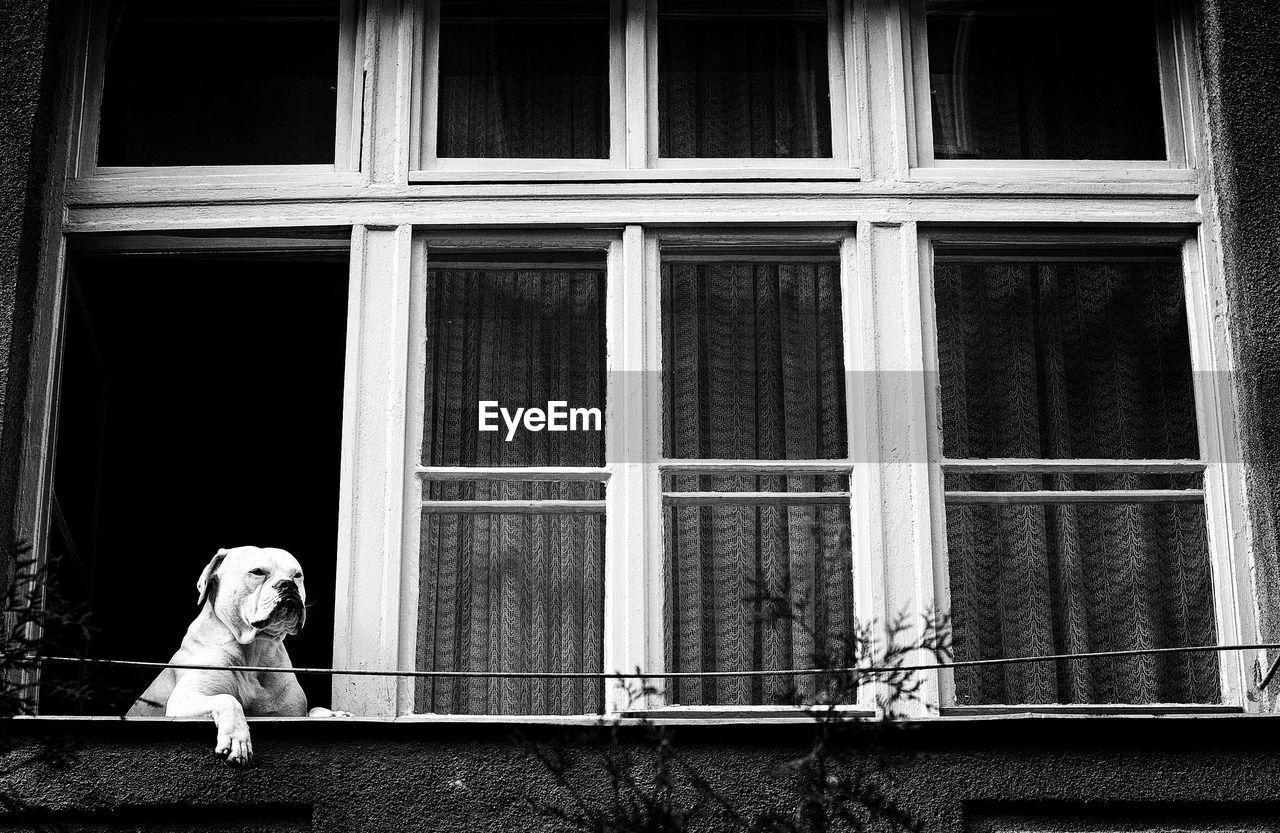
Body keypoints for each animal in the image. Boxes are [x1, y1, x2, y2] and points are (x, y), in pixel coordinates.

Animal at [126, 545, 348, 767]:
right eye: (257, 572)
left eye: (297, 575)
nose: (288, 584)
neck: (255, 651)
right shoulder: (184, 700)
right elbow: (228, 699)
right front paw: (236, 739)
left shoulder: (291, 714)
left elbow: (314, 710)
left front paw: (334, 714)